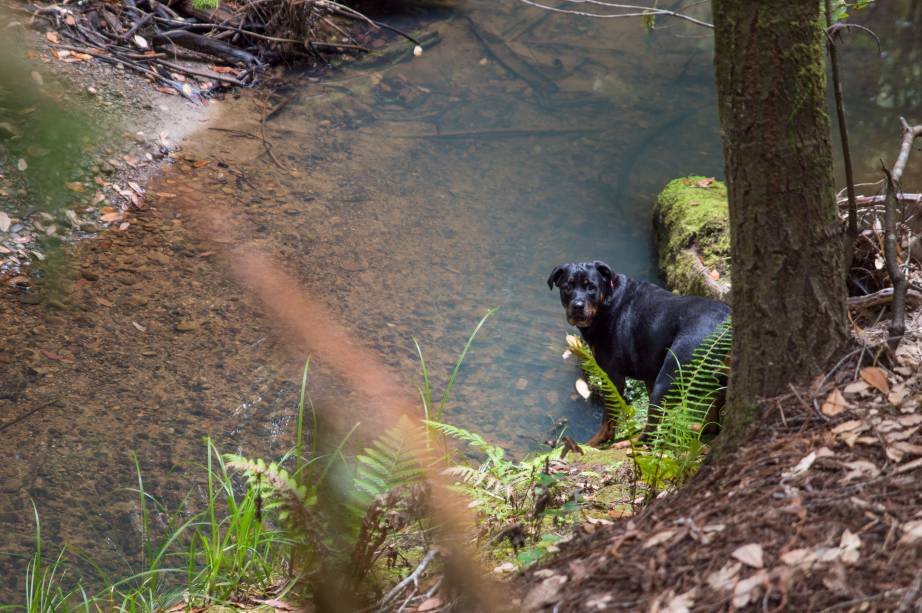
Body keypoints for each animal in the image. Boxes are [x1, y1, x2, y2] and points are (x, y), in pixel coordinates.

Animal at [548, 258, 724, 444]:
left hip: (670, 376)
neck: (607, 302)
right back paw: (705, 429)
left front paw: (596, 443)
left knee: (650, 433)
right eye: (567, 287)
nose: (577, 306)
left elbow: (609, 420)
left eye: (591, 287)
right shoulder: (649, 375)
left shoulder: (612, 377)